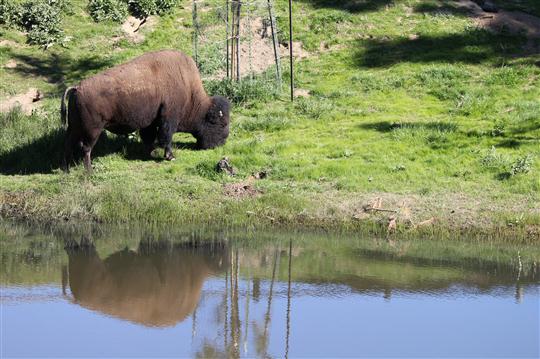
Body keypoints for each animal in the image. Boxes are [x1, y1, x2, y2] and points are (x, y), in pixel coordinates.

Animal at [61, 50, 230, 172]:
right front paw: (169, 157)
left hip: (75, 127)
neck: (189, 92)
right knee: (86, 148)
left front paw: (151, 153)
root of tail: (77, 88)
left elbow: (149, 137)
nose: (222, 143)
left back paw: (67, 169)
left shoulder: (151, 122)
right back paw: (89, 171)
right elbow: (166, 137)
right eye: (221, 124)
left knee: (68, 144)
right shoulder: (169, 118)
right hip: (92, 130)